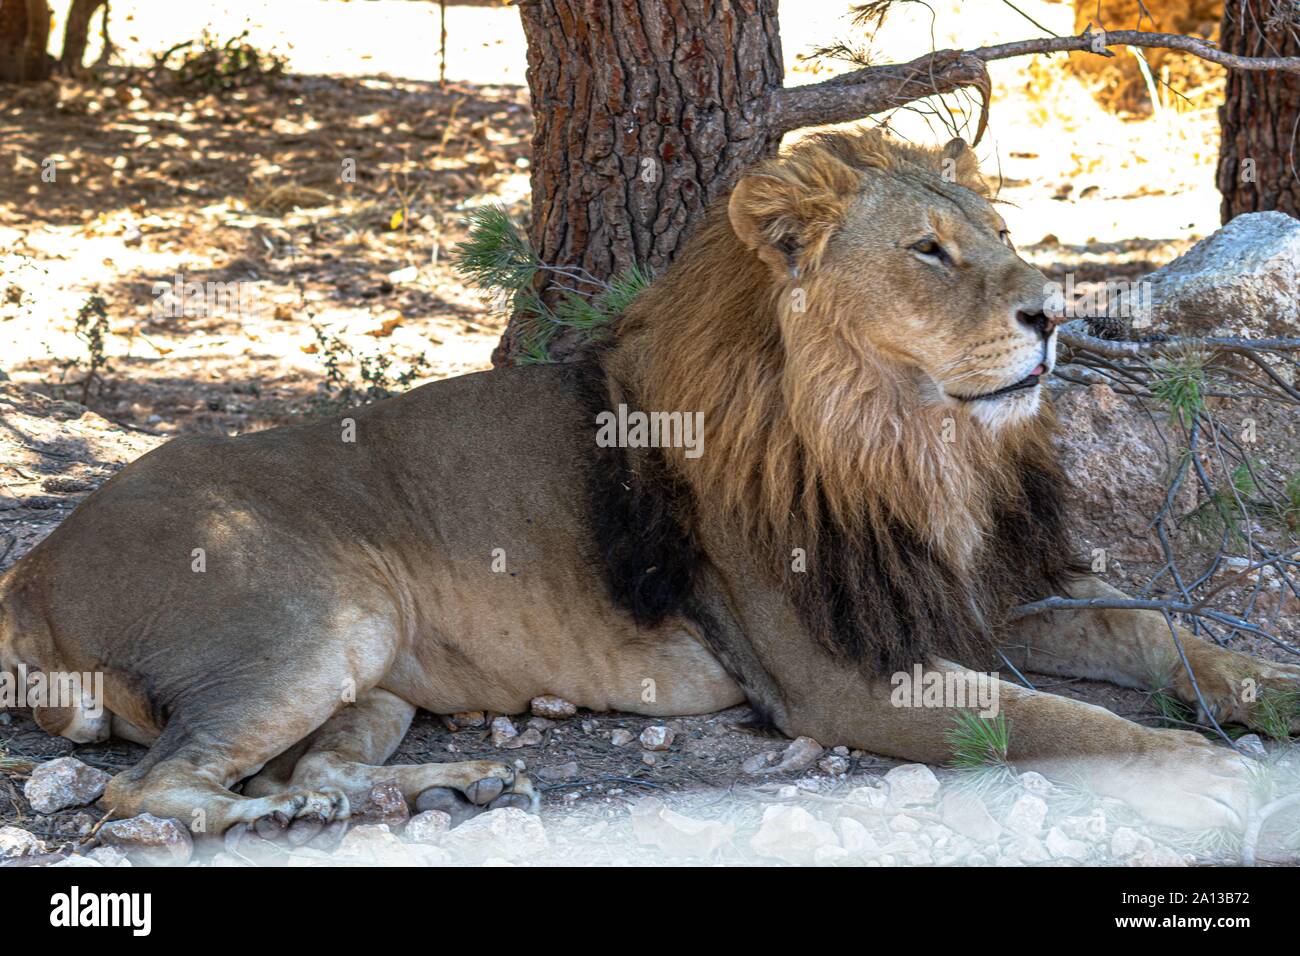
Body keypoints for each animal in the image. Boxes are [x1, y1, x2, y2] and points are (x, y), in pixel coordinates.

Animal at [2, 125, 1300, 842]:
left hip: (376, 677)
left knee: (309, 757)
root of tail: (33, 564)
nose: (1056, 315)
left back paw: (429, 792)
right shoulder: (835, 680)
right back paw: (297, 816)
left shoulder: (985, 591)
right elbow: (1070, 721)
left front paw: (1273, 695)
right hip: (323, 617)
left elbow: (1163, 637)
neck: (903, 442)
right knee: (147, 793)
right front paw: (1207, 774)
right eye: (929, 251)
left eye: (997, 234)